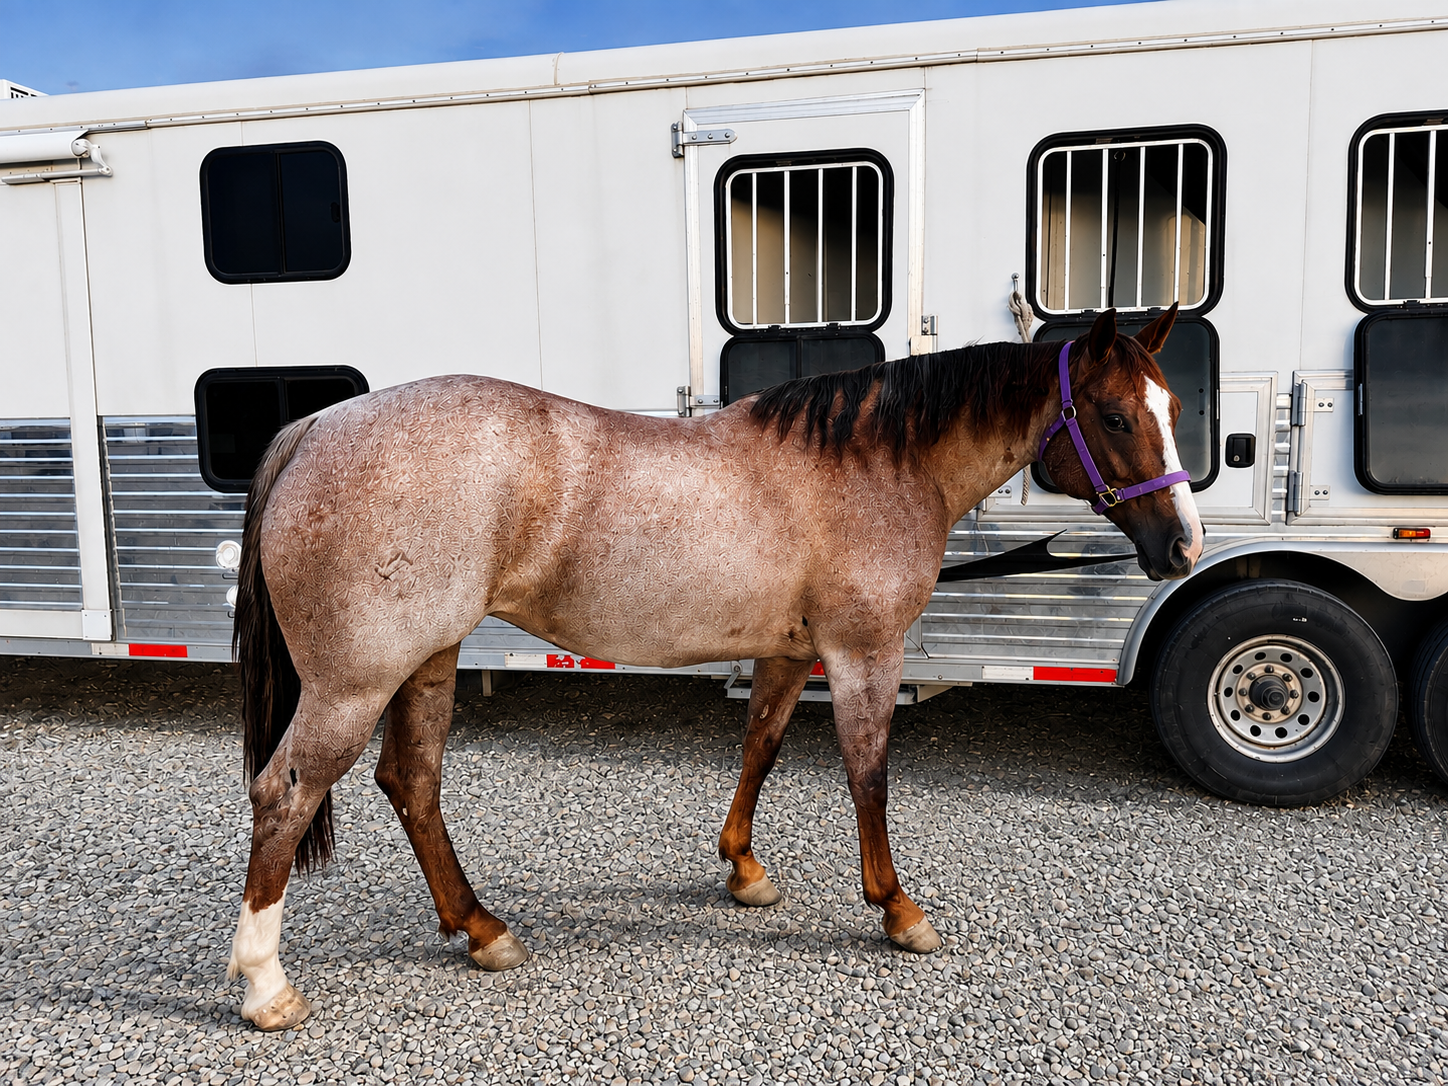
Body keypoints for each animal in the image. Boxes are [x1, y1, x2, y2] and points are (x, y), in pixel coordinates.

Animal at [226, 306, 1202, 1030]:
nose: (1183, 546)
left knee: (413, 783)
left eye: (1176, 411)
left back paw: (481, 929)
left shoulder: (791, 651)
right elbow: (869, 775)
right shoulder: (862, 652)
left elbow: (759, 751)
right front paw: (898, 909)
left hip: (428, 658)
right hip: (355, 683)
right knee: (286, 793)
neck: (872, 463)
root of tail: (315, 427)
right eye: (1116, 417)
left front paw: (744, 871)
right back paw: (267, 986)